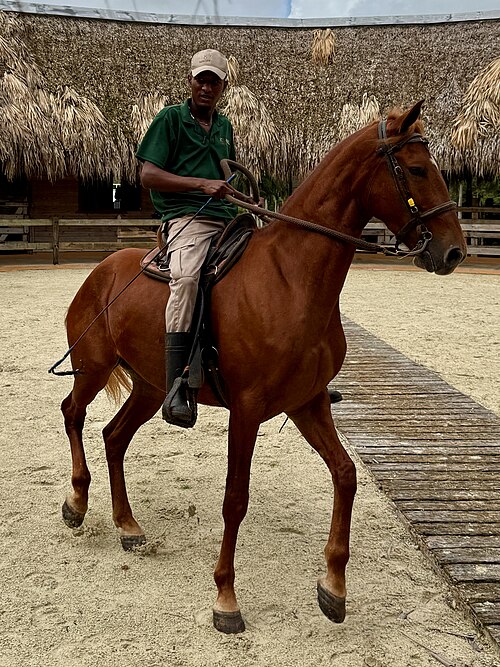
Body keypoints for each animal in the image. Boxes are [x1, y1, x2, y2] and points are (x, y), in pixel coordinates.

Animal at [59, 101, 466, 634]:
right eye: (417, 169)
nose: (454, 251)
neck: (291, 277)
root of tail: (100, 272)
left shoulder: (308, 403)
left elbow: (345, 475)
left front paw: (333, 587)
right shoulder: (247, 411)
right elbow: (236, 499)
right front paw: (226, 598)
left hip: (149, 387)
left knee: (114, 437)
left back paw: (127, 525)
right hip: (92, 368)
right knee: (73, 414)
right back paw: (76, 503)